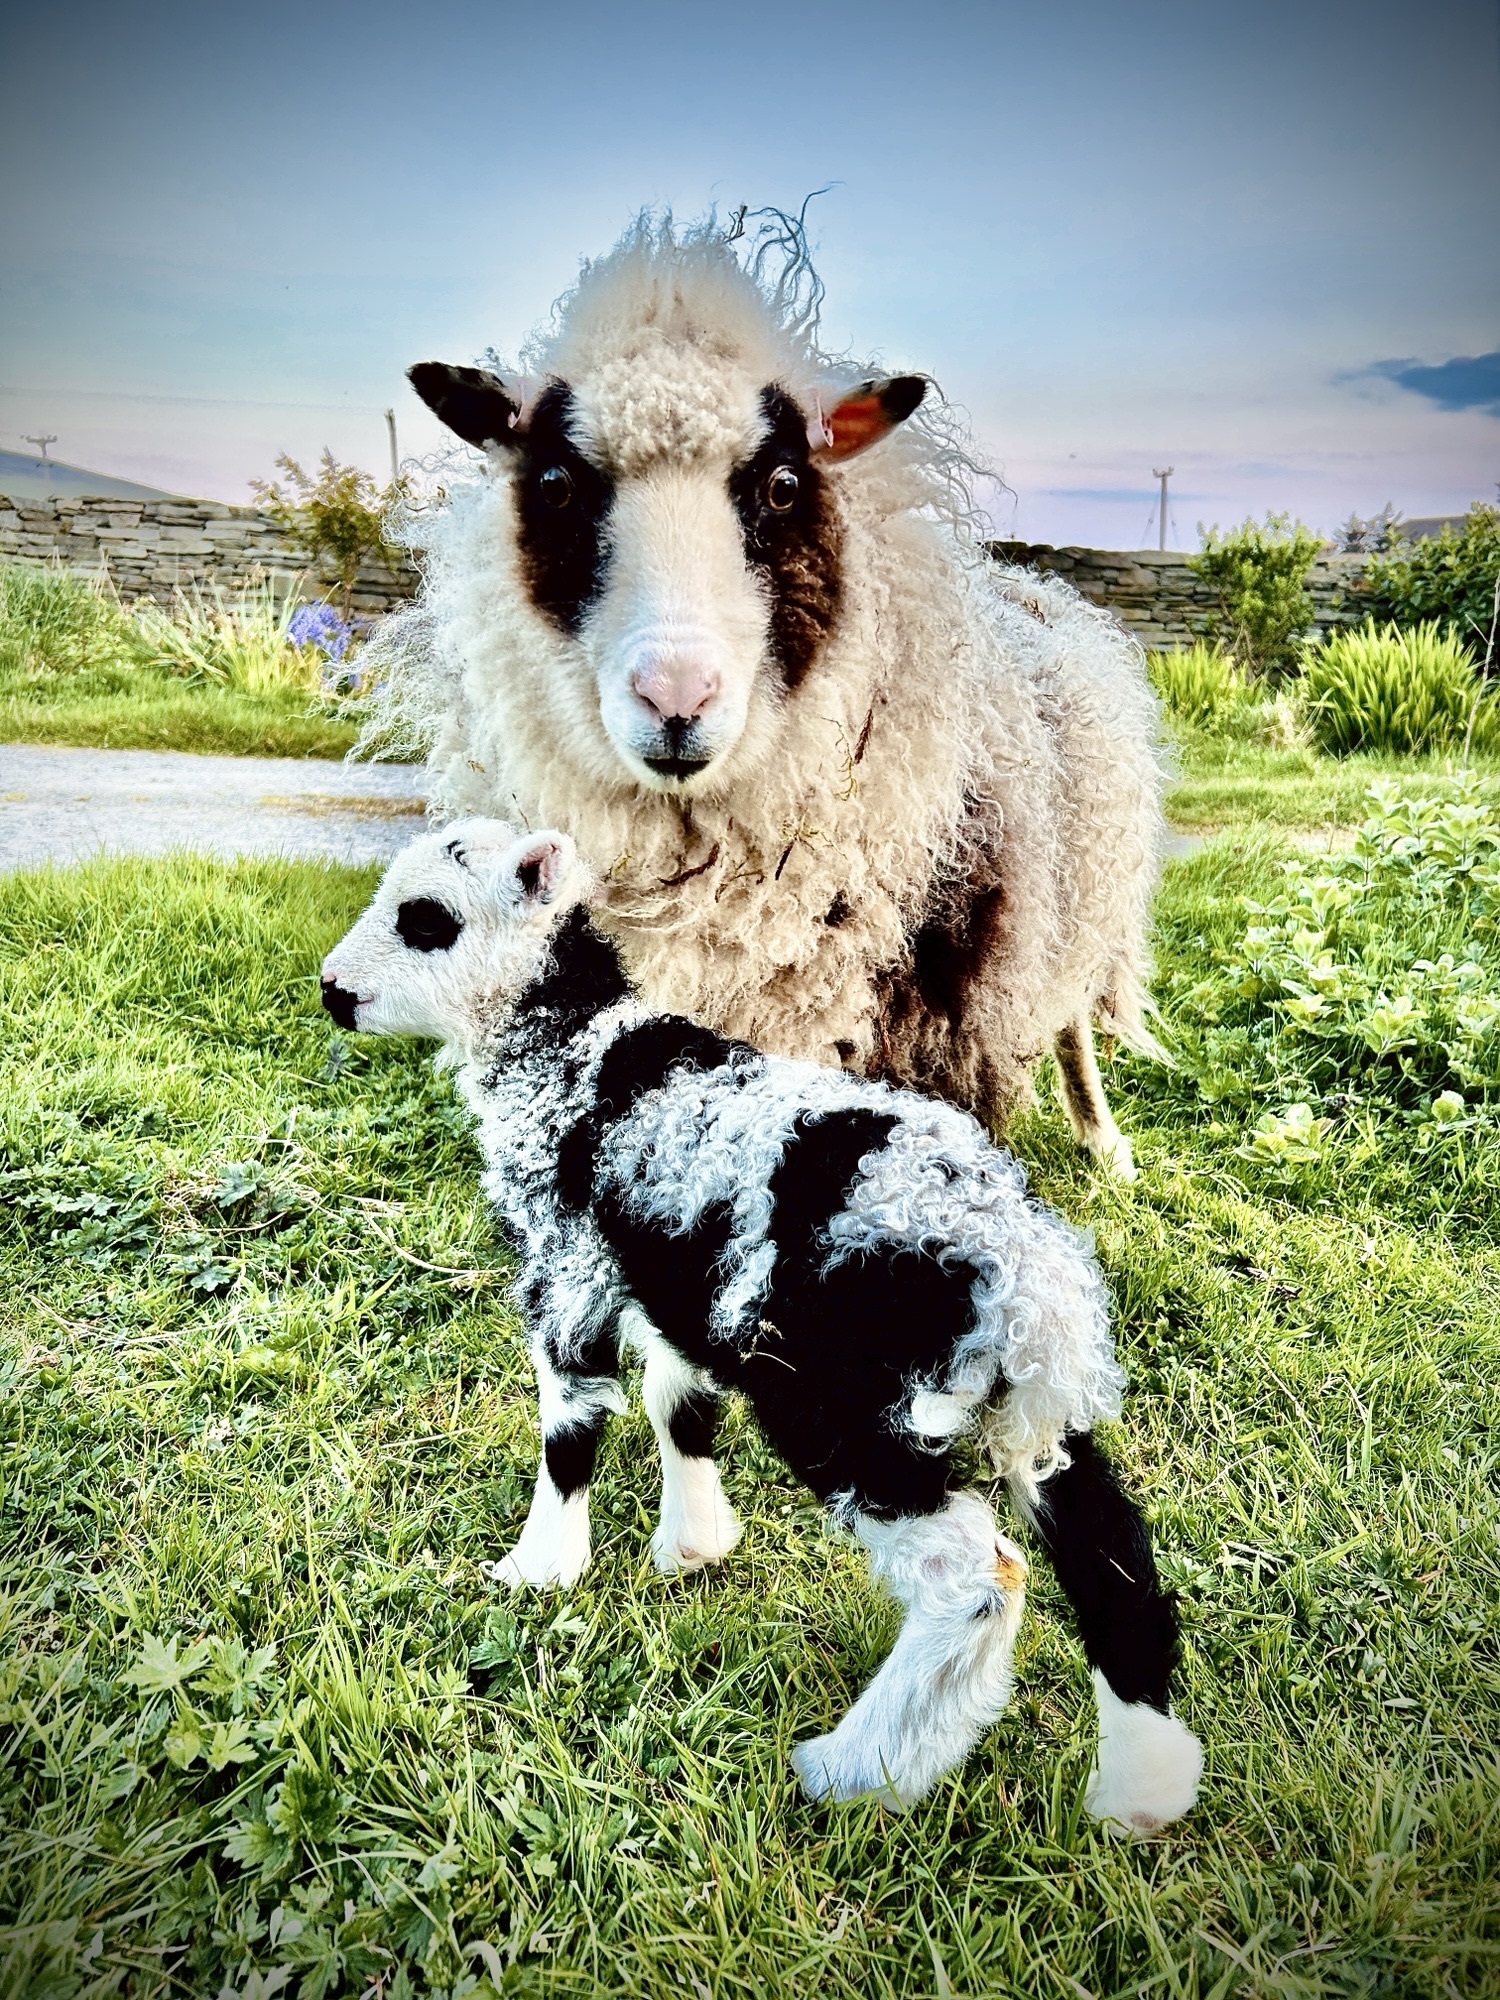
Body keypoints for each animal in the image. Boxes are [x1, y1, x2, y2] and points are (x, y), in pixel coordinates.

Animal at [320, 818, 1203, 1830]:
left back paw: (859, 1772)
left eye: (426, 920)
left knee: (977, 1576)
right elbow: (679, 1403)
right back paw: (1141, 1791)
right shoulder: (679, 1284)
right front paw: (694, 1547)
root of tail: (1018, 1275)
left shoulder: (566, 1264)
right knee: (1113, 1559)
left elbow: (570, 1425)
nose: (333, 991)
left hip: (844, 1406)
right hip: (1029, 1414)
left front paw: (538, 1571)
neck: (570, 1044)